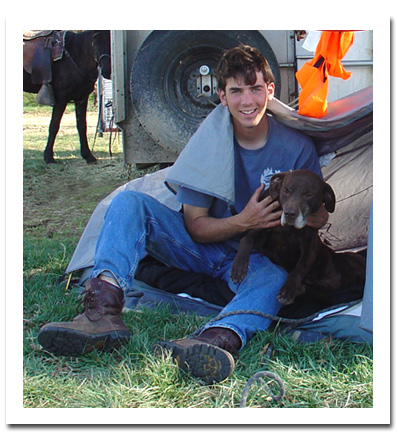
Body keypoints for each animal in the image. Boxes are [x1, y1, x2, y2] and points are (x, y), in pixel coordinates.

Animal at [23, 30, 111, 164]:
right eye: (95, 42)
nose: (108, 70)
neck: (77, 56)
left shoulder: (81, 98)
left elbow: (82, 126)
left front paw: (88, 155)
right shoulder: (61, 99)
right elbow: (54, 126)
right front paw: (48, 157)